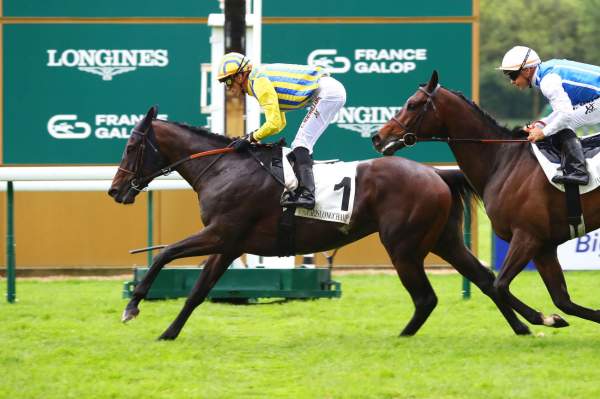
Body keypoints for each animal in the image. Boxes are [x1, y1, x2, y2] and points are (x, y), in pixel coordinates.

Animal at [110, 105, 528, 340]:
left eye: (130, 147)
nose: (115, 190)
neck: (223, 167)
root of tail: (438, 174)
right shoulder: (229, 244)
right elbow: (198, 291)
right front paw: (169, 332)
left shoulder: (219, 233)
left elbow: (165, 253)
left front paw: (132, 306)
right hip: (444, 239)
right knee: (486, 279)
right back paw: (528, 324)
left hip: (404, 247)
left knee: (427, 298)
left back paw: (405, 336)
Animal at [372, 70, 600, 330]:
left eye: (412, 104)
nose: (378, 137)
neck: (503, 161)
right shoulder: (544, 246)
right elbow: (562, 300)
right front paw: (551, 318)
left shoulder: (527, 236)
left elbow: (500, 285)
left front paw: (542, 318)